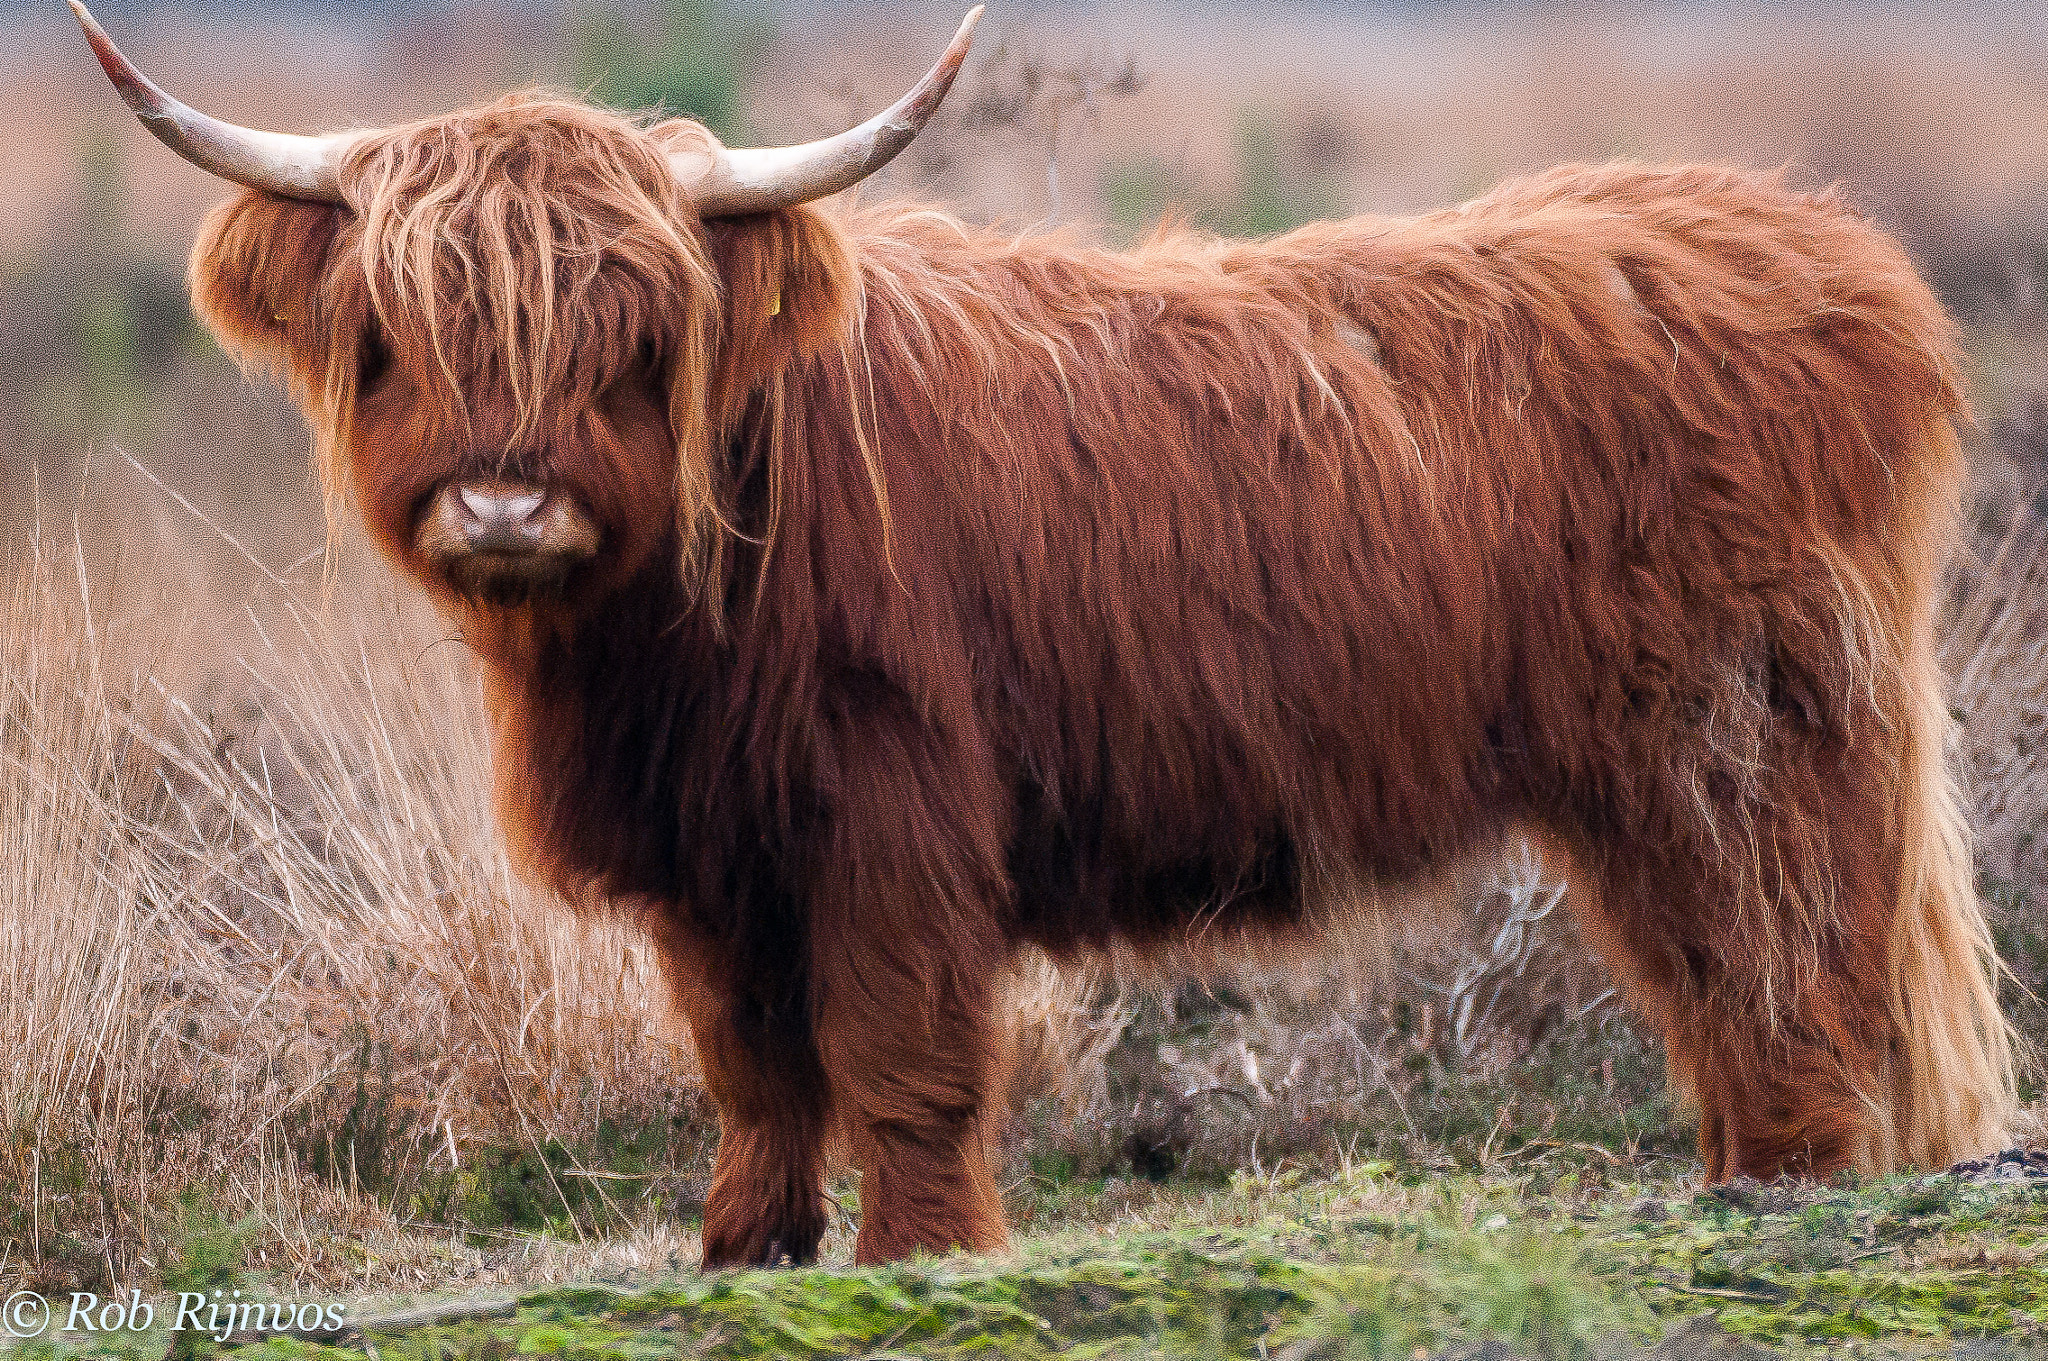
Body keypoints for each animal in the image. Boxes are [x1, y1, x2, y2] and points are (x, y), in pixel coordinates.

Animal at [71, 0, 2015, 1268]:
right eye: (397, 328)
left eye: (633, 332)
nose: (502, 507)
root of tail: (1828, 253)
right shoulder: (711, 857)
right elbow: (750, 1065)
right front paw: (742, 1247)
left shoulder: (895, 813)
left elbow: (900, 1052)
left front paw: (918, 1252)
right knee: (1720, 966)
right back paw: (1738, 1170)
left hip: (1732, 734)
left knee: (1784, 950)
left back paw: (1782, 1182)